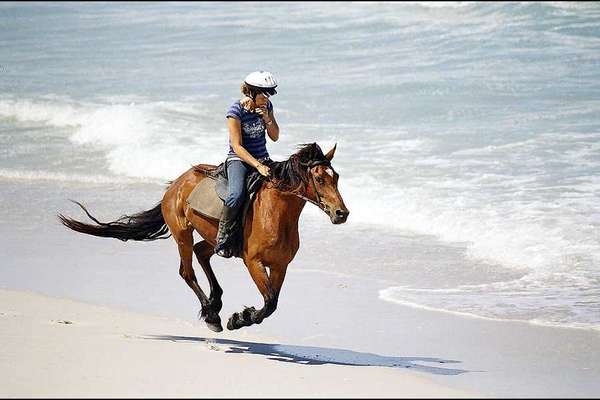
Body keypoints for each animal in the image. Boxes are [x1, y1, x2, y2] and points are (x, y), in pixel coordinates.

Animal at [58, 143, 350, 332]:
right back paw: (212, 315)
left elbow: (273, 303)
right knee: (186, 271)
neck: (275, 212)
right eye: (319, 179)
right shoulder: (254, 262)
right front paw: (238, 318)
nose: (342, 213)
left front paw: (239, 316)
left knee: (201, 253)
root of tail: (176, 184)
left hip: (214, 239)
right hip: (182, 234)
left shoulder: (280, 266)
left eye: (336, 177)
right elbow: (268, 303)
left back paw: (215, 304)